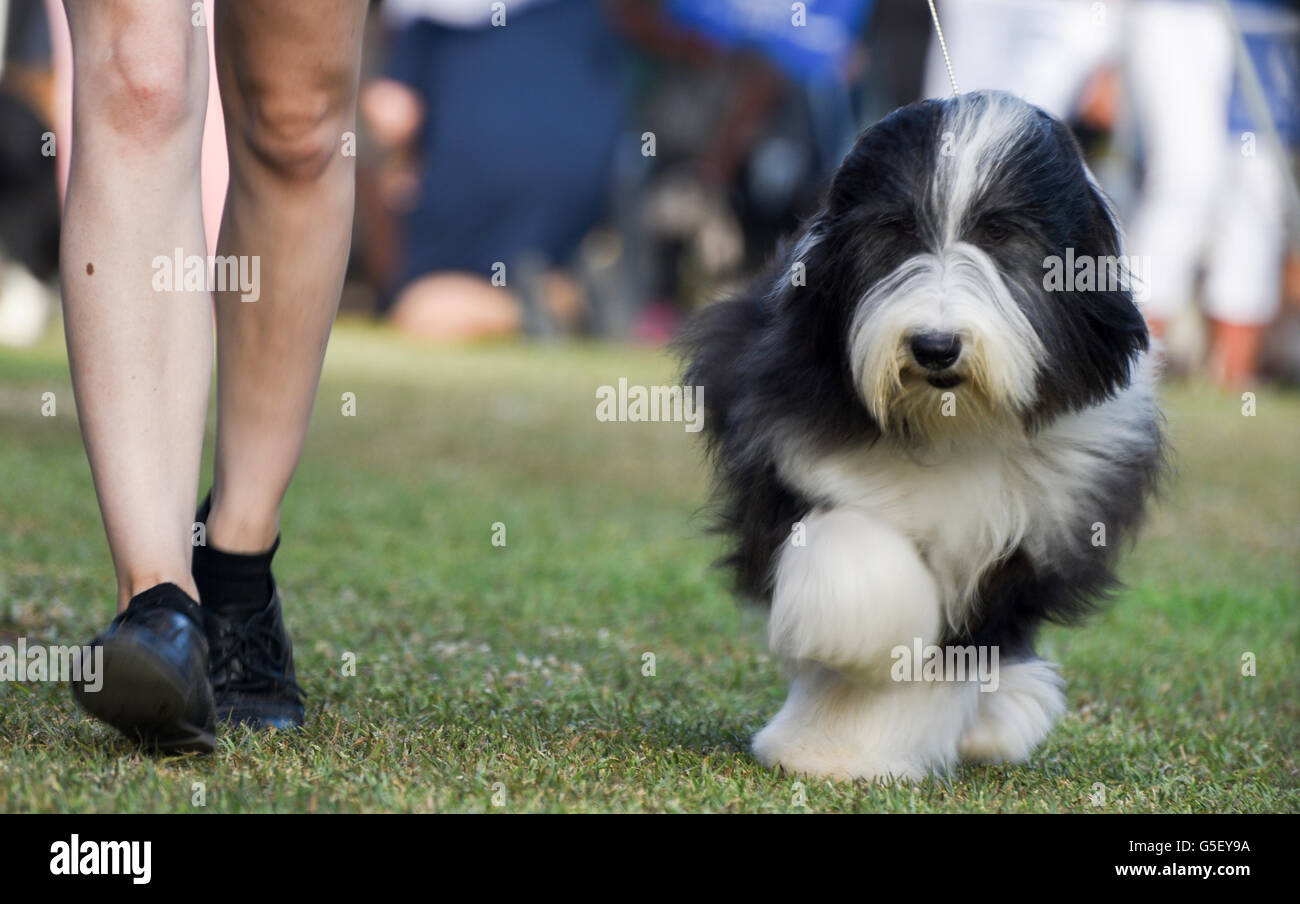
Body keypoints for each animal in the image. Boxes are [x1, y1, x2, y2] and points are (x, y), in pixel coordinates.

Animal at [686, 93, 1164, 785]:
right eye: (896, 231)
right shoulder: (788, 451)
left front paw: (851, 745)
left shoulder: (1047, 517)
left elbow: (964, 644)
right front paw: (838, 714)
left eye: (1001, 235)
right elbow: (856, 551)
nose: (935, 347)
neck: (952, 424)